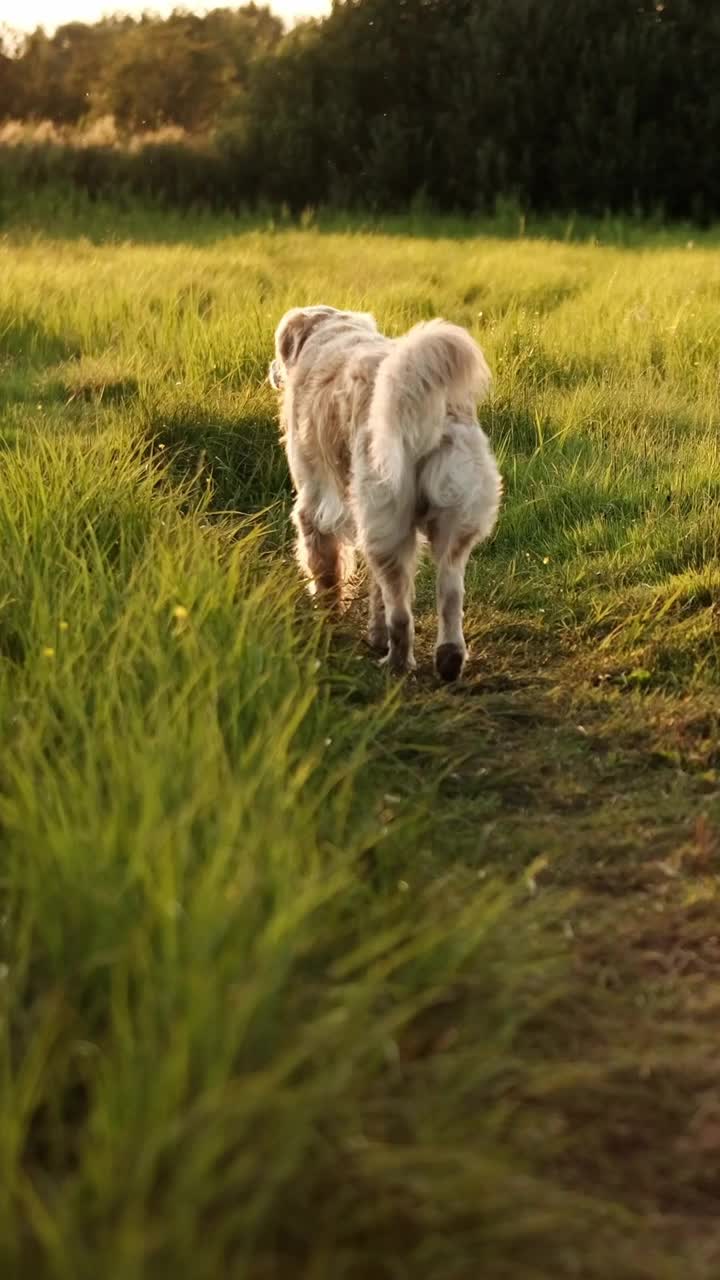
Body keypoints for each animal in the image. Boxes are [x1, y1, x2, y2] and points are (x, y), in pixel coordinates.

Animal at [269, 303, 499, 680]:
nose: (273, 370)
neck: (330, 331)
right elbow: (374, 593)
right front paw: (374, 636)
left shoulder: (313, 506)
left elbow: (326, 572)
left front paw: (328, 620)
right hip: (449, 523)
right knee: (448, 594)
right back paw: (448, 658)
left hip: (386, 519)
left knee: (401, 614)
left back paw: (397, 663)